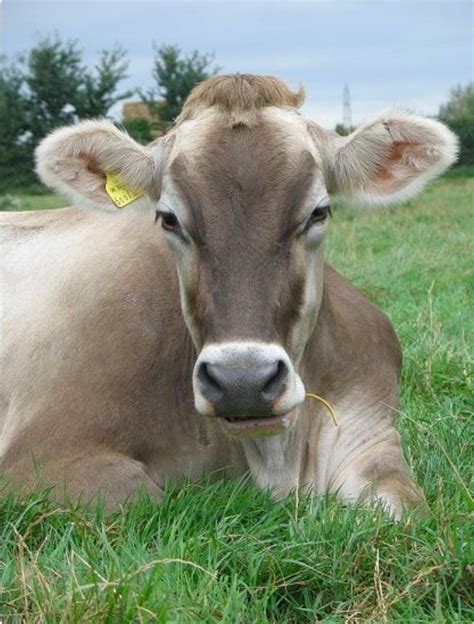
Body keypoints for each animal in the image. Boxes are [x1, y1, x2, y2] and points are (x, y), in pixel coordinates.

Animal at [1, 74, 458, 516]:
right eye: (168, 218)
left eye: (318, 212)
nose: (243, 382)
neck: (276, 460)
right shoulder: (40, 454)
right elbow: (138, 497)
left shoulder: (371, 431)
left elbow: (407, 510)